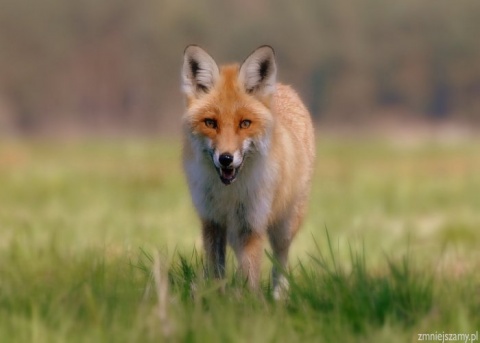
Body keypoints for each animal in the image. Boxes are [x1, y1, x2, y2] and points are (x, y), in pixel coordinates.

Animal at [181, 45, 316, 298]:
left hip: (284, 225)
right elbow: (217, 271)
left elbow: (249, 276)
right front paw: (217, 299)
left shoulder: (252, 224)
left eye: (245, 123)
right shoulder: (212, 221)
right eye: (210, 123)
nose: (226, 159)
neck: (229, 194)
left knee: (280, 259)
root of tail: (283, 87)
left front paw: (248, 304)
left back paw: (279, 296)